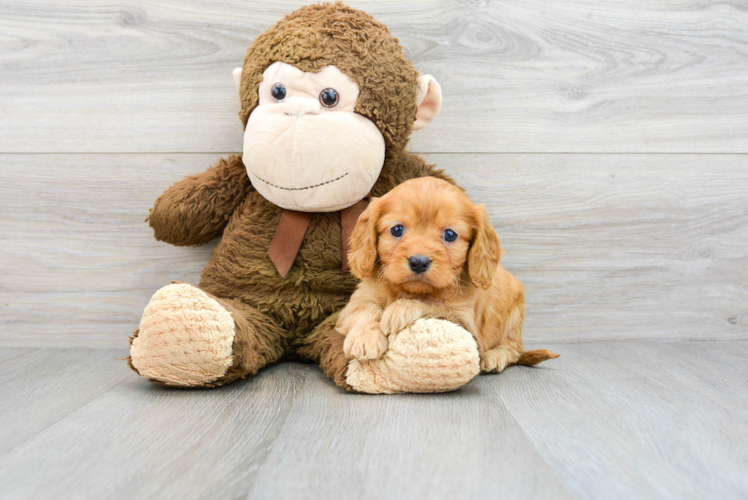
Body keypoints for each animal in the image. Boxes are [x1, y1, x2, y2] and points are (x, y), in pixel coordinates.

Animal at [336, 178, 560, 374]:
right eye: (397, 229)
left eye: (450, 234)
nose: (419, 262)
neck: (409, 289)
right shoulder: (355, 303)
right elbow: (367, 309)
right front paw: (365, 338)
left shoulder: (463, 318)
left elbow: (432, 303)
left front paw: (400, 308)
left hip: (514, 318)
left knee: (513, 350)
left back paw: (495, 356)